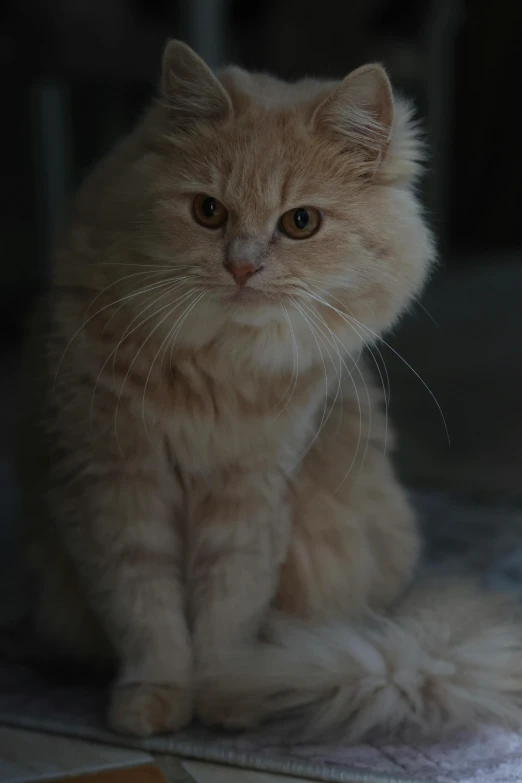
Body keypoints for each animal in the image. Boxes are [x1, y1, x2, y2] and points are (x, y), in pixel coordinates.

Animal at [15, 41, 520, 740]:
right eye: (208, 212)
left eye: (300, 222)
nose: (241, 266)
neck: (216, 370)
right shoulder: (115, 482)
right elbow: (147, 614)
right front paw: (155, 699)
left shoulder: (250, 494)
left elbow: (228, 610)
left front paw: (229, 692)